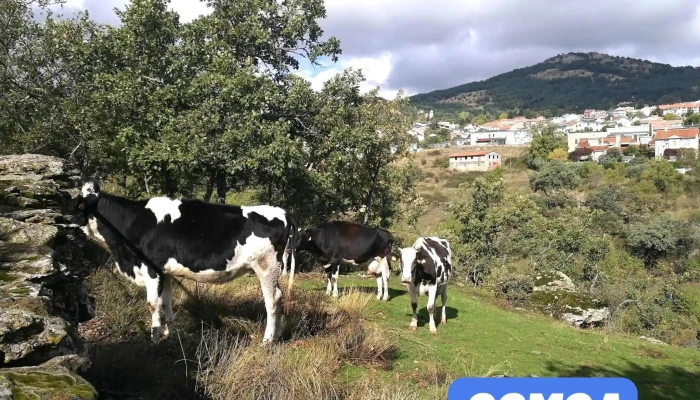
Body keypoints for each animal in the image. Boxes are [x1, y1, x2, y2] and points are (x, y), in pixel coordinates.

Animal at [76, 180, 298, 344]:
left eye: (76, 203)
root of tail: (283, 212)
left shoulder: (151, 269)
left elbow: (152, 304)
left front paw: (154, 340)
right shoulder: (164, 272)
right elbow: (166, 302)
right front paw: (170, 335)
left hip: (266, 266)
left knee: (272, 300)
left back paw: (267, 340)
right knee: (277, 298)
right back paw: (277, 335)